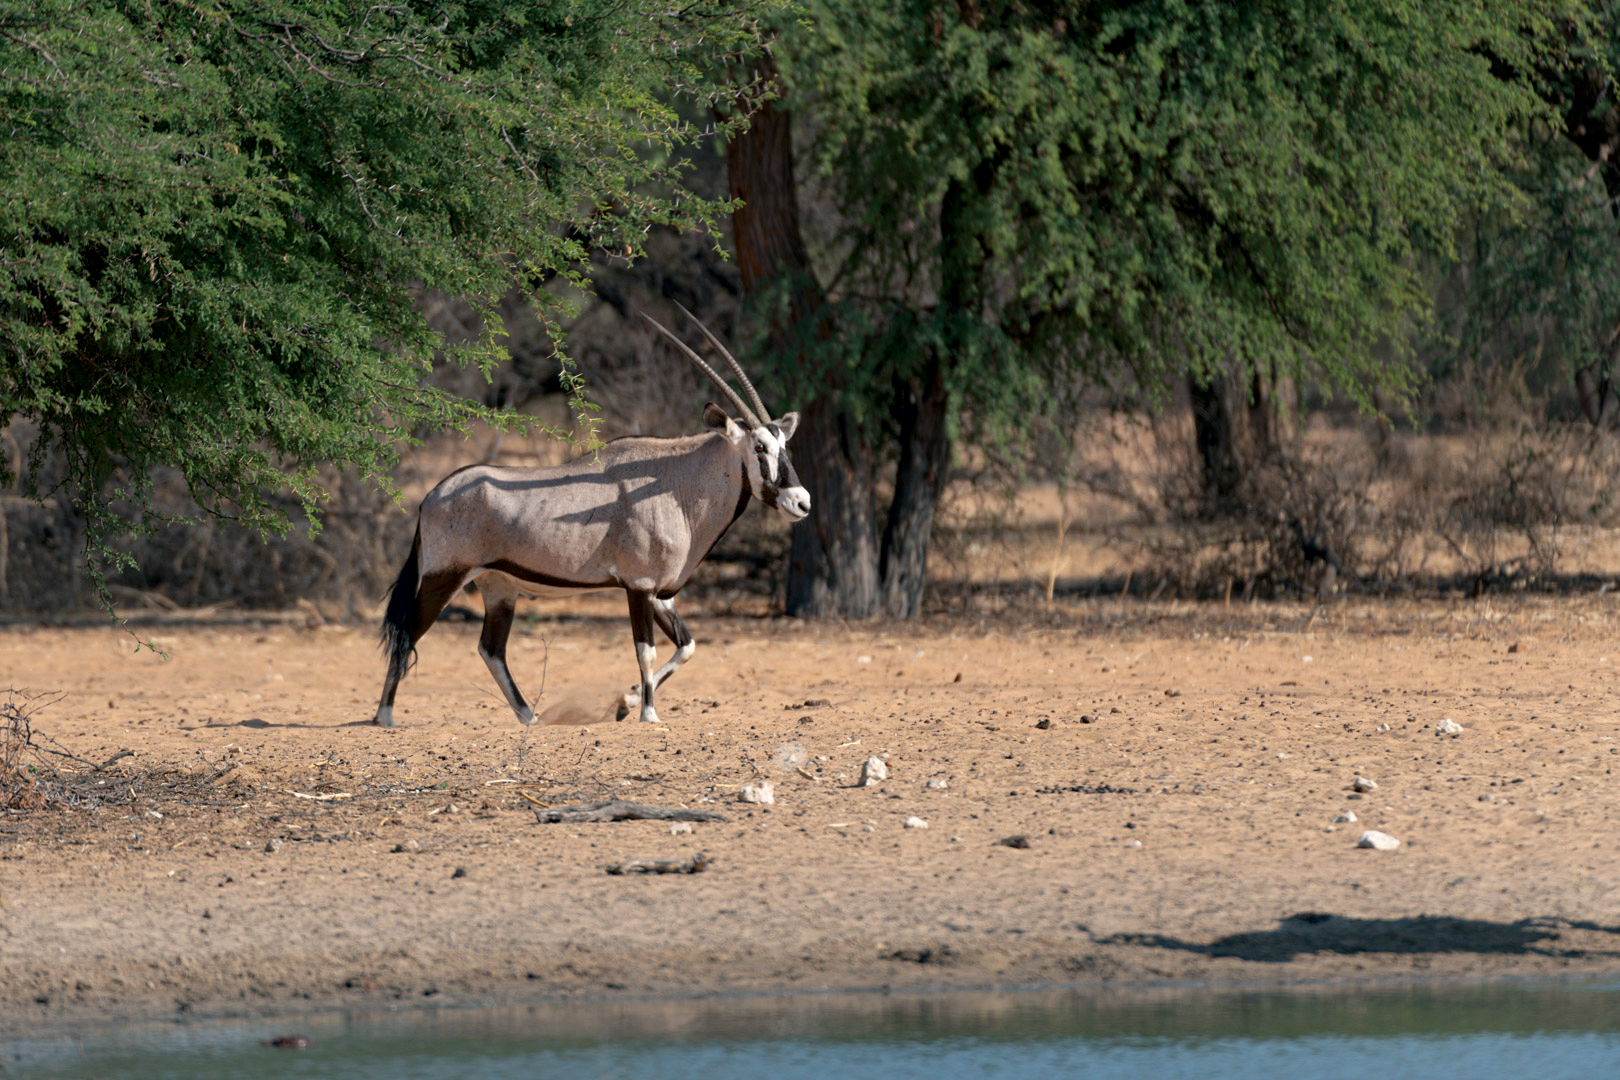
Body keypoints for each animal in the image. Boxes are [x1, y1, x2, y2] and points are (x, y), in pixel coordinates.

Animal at [372, 308, 809, 727]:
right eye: (759, 447)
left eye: (784, 445)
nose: (802, 502)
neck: (676, 483)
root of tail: (431, 496)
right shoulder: (639, 586)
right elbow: (646, 651)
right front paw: (647, 714)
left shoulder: (662, 593)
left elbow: (687, 647)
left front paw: (627, 702)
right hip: (444, 578)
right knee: (409, 633)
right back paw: (385, 716)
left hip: (498, 588)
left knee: (491, 648)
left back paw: (530, 717)